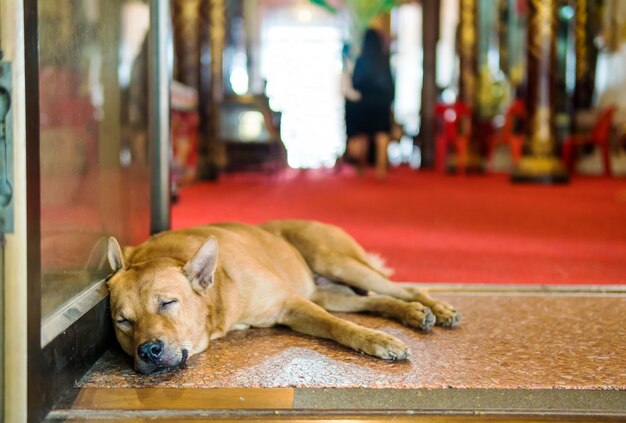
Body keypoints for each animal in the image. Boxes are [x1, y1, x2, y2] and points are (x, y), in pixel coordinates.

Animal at [106, 220, 458, 376]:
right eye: (123, 321)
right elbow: (337, 324)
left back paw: (436, 308)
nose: (148, 351)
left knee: (404, 289)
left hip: (334, 260)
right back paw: (413, 313)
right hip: (329, 293)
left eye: (167, 303)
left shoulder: (291, 303)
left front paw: (378, 341)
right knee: (376, 301)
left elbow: (339, 326)